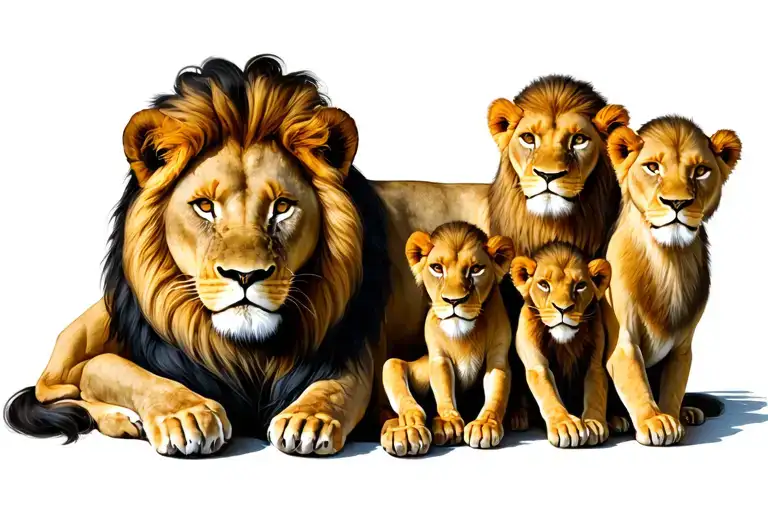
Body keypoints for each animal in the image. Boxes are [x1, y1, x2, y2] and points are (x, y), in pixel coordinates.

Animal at [3, 55, 390, 457]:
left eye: (282, 207)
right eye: (205, 206)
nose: (245, 275)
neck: (246, 353)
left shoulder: (353, 354)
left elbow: (336, 387)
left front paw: (309, 419)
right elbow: (114, 369)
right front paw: (185, 415)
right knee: (54, 386)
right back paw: (120, 418)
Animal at [380, 222, 515, 456]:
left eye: (476, 269)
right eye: (437, 268)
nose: (453, 300)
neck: (464, 334)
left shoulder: (498, 358)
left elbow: (496, 394)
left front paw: (485, 425)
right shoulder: (438, 357)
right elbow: (443, 388)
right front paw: (447, 421)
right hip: (396, 367)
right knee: (396, 374)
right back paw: (408, 430)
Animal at [510, 242, 611, 448]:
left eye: (580, 286)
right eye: (544, 284)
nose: (563, 309)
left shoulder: (595, 364)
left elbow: (596, 391)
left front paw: (594, 423)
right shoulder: (537, 363)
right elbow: (547, 390)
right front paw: (565, 425)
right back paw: (518, 418)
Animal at [601, 115, 740, 445]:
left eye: (700, 170)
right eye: (653, 167)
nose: (676, 204)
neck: (669, 264)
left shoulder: (682, 346)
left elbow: (674, 385)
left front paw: (672, 416)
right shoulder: (623, 341)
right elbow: (636, 379)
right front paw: (654, 421)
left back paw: (688, 412)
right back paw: (615, 420)